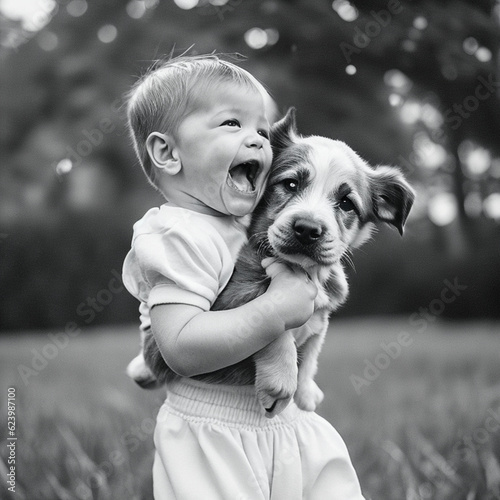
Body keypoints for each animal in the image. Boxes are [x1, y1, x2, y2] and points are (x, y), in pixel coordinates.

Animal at [128, 108, 414, 418]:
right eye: (290, 184)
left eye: (346, 203)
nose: (307, 229)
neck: (301, 270)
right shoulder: (233, 299)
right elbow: (271, 322)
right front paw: (281, 381)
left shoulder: (321, 316)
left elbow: (312, 351)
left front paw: (305, 390)